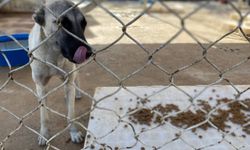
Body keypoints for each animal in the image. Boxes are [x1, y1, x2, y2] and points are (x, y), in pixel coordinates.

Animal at [28, 0, 93, 145]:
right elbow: (43, 115)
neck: (54, 55)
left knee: (75, 81)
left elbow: (71, 114)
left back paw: (76, 93)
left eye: (83, 23)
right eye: (62, 23)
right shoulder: (41, 85)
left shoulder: (69, 77)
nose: (89, 52)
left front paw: (73, 132)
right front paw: (44, 134)